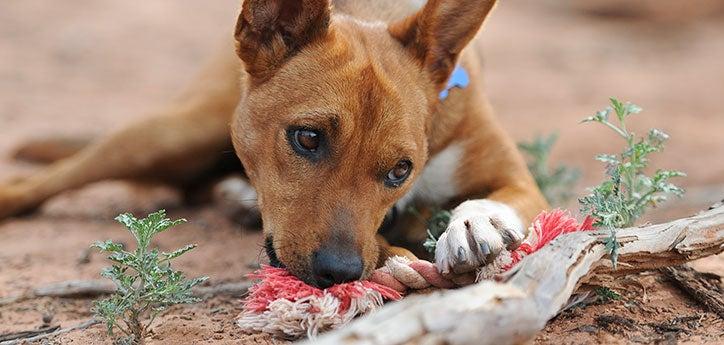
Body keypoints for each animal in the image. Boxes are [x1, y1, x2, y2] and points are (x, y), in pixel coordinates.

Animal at [0, 0, 544, 288]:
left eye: (400, 170)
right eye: (307, 138)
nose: (339, 273)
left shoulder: (518, 180)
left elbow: (502, 199)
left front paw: (474, 223)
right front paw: (395, 256)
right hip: (171, 133)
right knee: (44, 182)